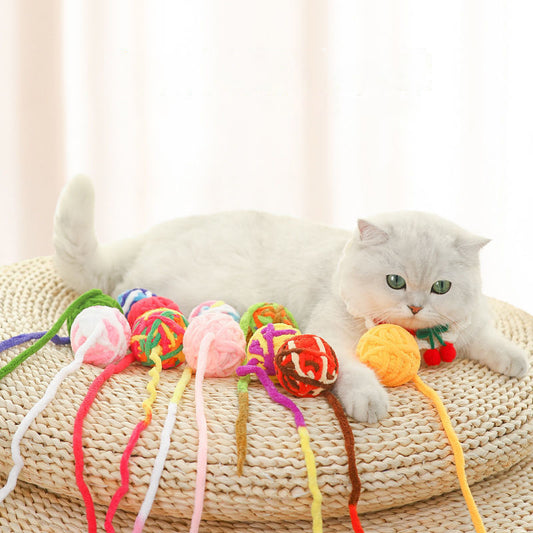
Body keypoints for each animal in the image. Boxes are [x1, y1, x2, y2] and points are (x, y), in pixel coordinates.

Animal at [53, 177, 528, 422]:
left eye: (441, 288)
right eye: (395, 281)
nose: (414, 306)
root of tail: (149, 235)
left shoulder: (471, 323)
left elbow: (489, 338)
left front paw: (516, 361)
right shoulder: (332, 336)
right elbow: (355, 372)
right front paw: (370, 402)